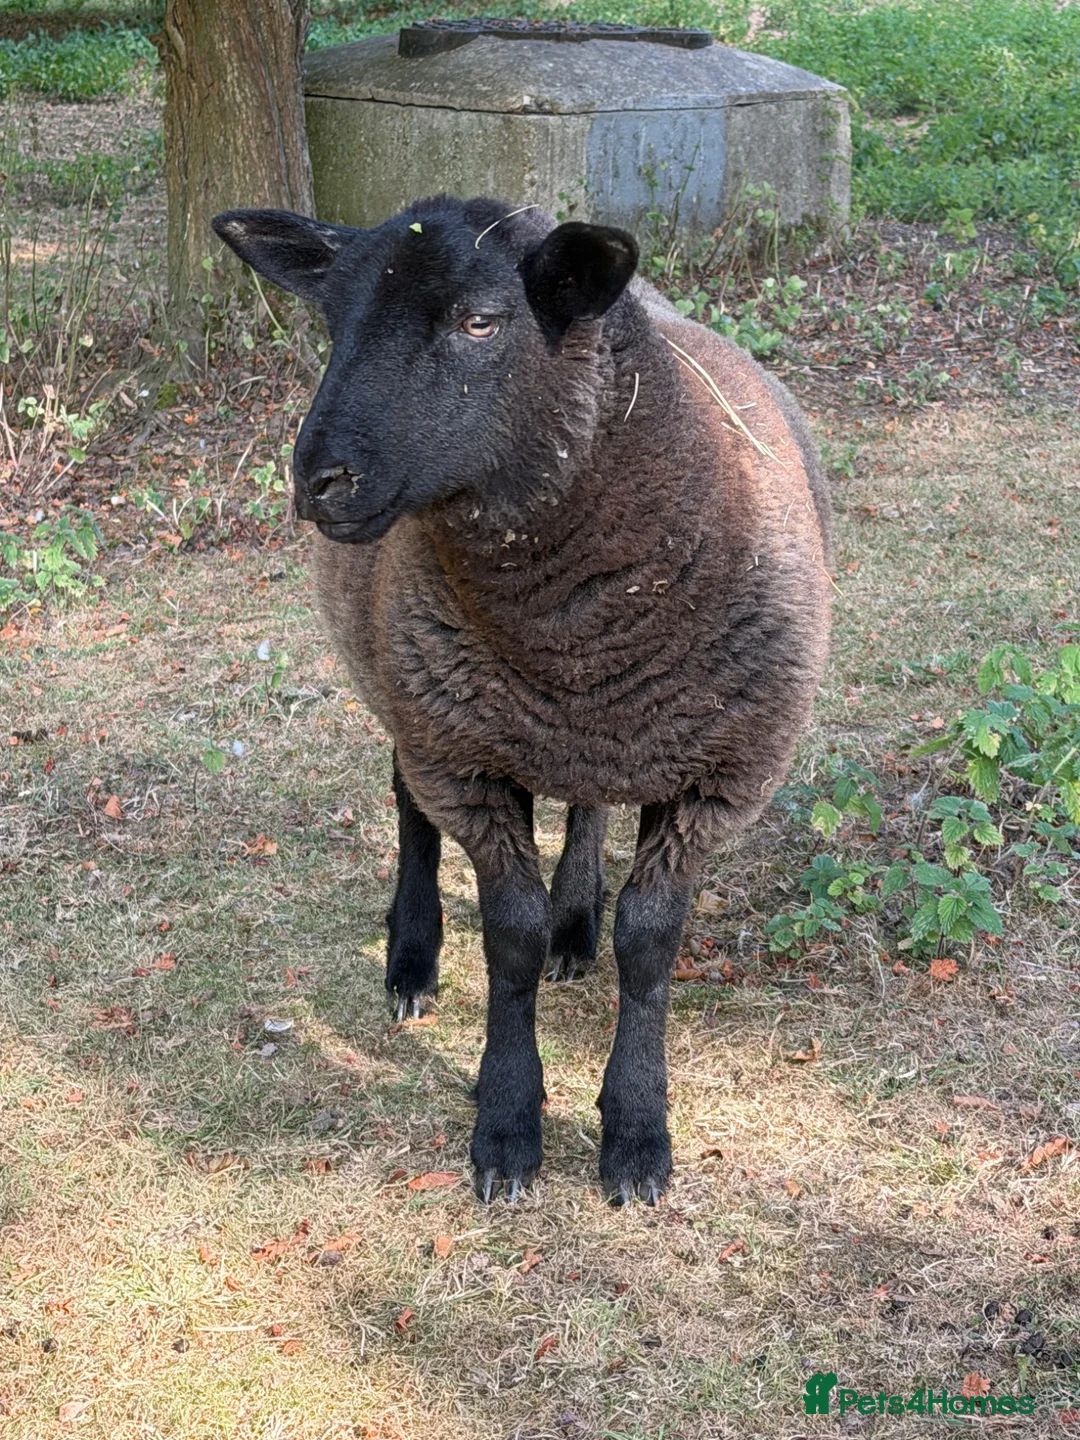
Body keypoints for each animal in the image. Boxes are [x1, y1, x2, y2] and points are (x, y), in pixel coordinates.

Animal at [212, 195, 832, 1206]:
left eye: (481, 322)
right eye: (333, 323)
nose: (318, 481)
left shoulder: (718, 775)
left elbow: (648, 943)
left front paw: (636, 1134)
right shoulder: (459, 753)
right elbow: (510, 938)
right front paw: (505, 1127)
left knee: (585, 803)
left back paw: (578, 925)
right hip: (413, 692)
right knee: (409, 807)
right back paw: (413, 960)